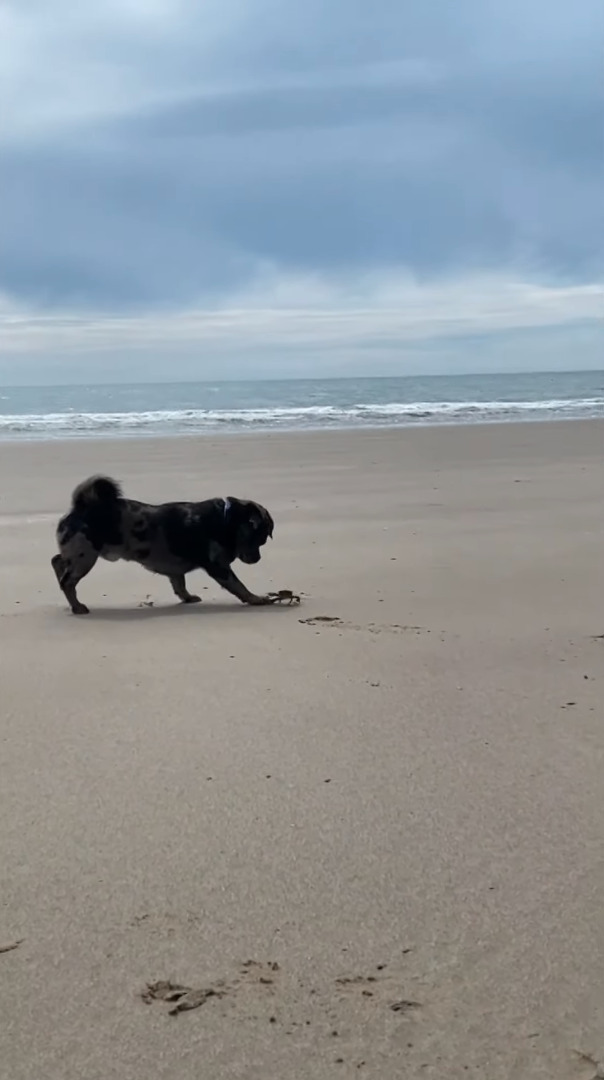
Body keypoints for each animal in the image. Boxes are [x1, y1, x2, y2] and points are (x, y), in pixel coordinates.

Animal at [50, 475, 291, 617]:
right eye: (258, 539)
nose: (257, 558)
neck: (225, 519)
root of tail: (80, 508)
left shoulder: (175, 569)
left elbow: (180, 584)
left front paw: (187, 597)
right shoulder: (219, 567)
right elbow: (239, 586)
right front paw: (256, 599)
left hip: (77, 555)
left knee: (57, 561)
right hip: (84, 557)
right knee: (68, 582)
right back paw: (77, 606)